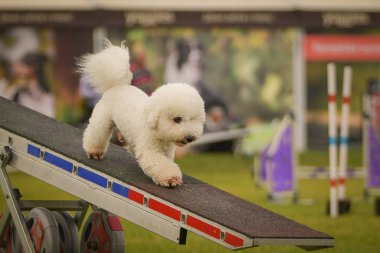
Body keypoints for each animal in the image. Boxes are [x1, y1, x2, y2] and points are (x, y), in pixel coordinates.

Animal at [78, 41, 206, 187]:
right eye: (177, 119)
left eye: (192, 119)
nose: (190, 137)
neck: (157, 130)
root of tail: (117, 86)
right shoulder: (150, 150)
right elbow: (160, 164)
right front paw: (171, 178)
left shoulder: (166, 152)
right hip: (102, 120)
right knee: (96, 134)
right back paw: (94, 152)